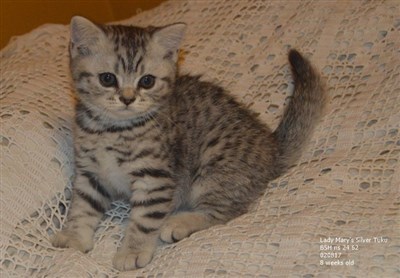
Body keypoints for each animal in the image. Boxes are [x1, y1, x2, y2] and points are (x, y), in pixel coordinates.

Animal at [50, 15, 324, 272]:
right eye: (107, 79)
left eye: (147, 81)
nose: (127, 99)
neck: (112, 129)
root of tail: (271, 145)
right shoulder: (90, 172)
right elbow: (82, 207)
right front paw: (74, 236)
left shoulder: (155, 178)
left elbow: (144, 219)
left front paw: (132, 251)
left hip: (214, 163)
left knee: (224, 212)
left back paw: (179, 222)